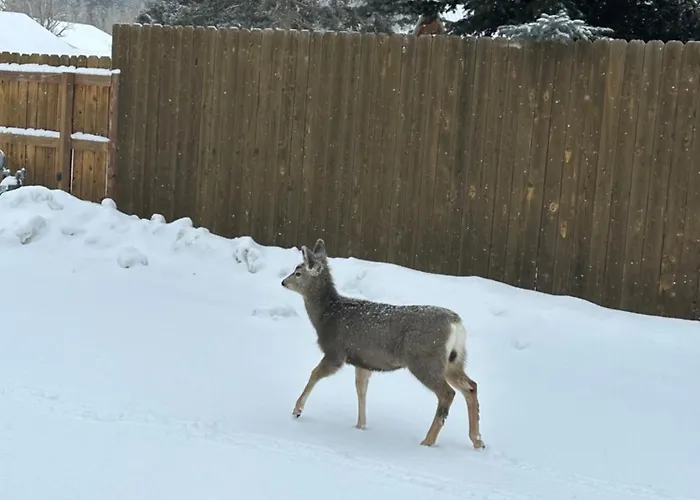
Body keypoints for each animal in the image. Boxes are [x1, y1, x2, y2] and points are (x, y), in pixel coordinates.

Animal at [281, 239, 485, 449]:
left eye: (298, 272)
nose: (283, 282)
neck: (327, 315)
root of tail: (456, 323)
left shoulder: (336, 352)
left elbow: (314, 373)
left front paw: (297, 410)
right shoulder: (362, 360)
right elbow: (361, 390)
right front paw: (360, 426)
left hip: (424, 359)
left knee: (447, 393)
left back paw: (428, 441)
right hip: (454, 360)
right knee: (471, 386)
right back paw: (477, 440)